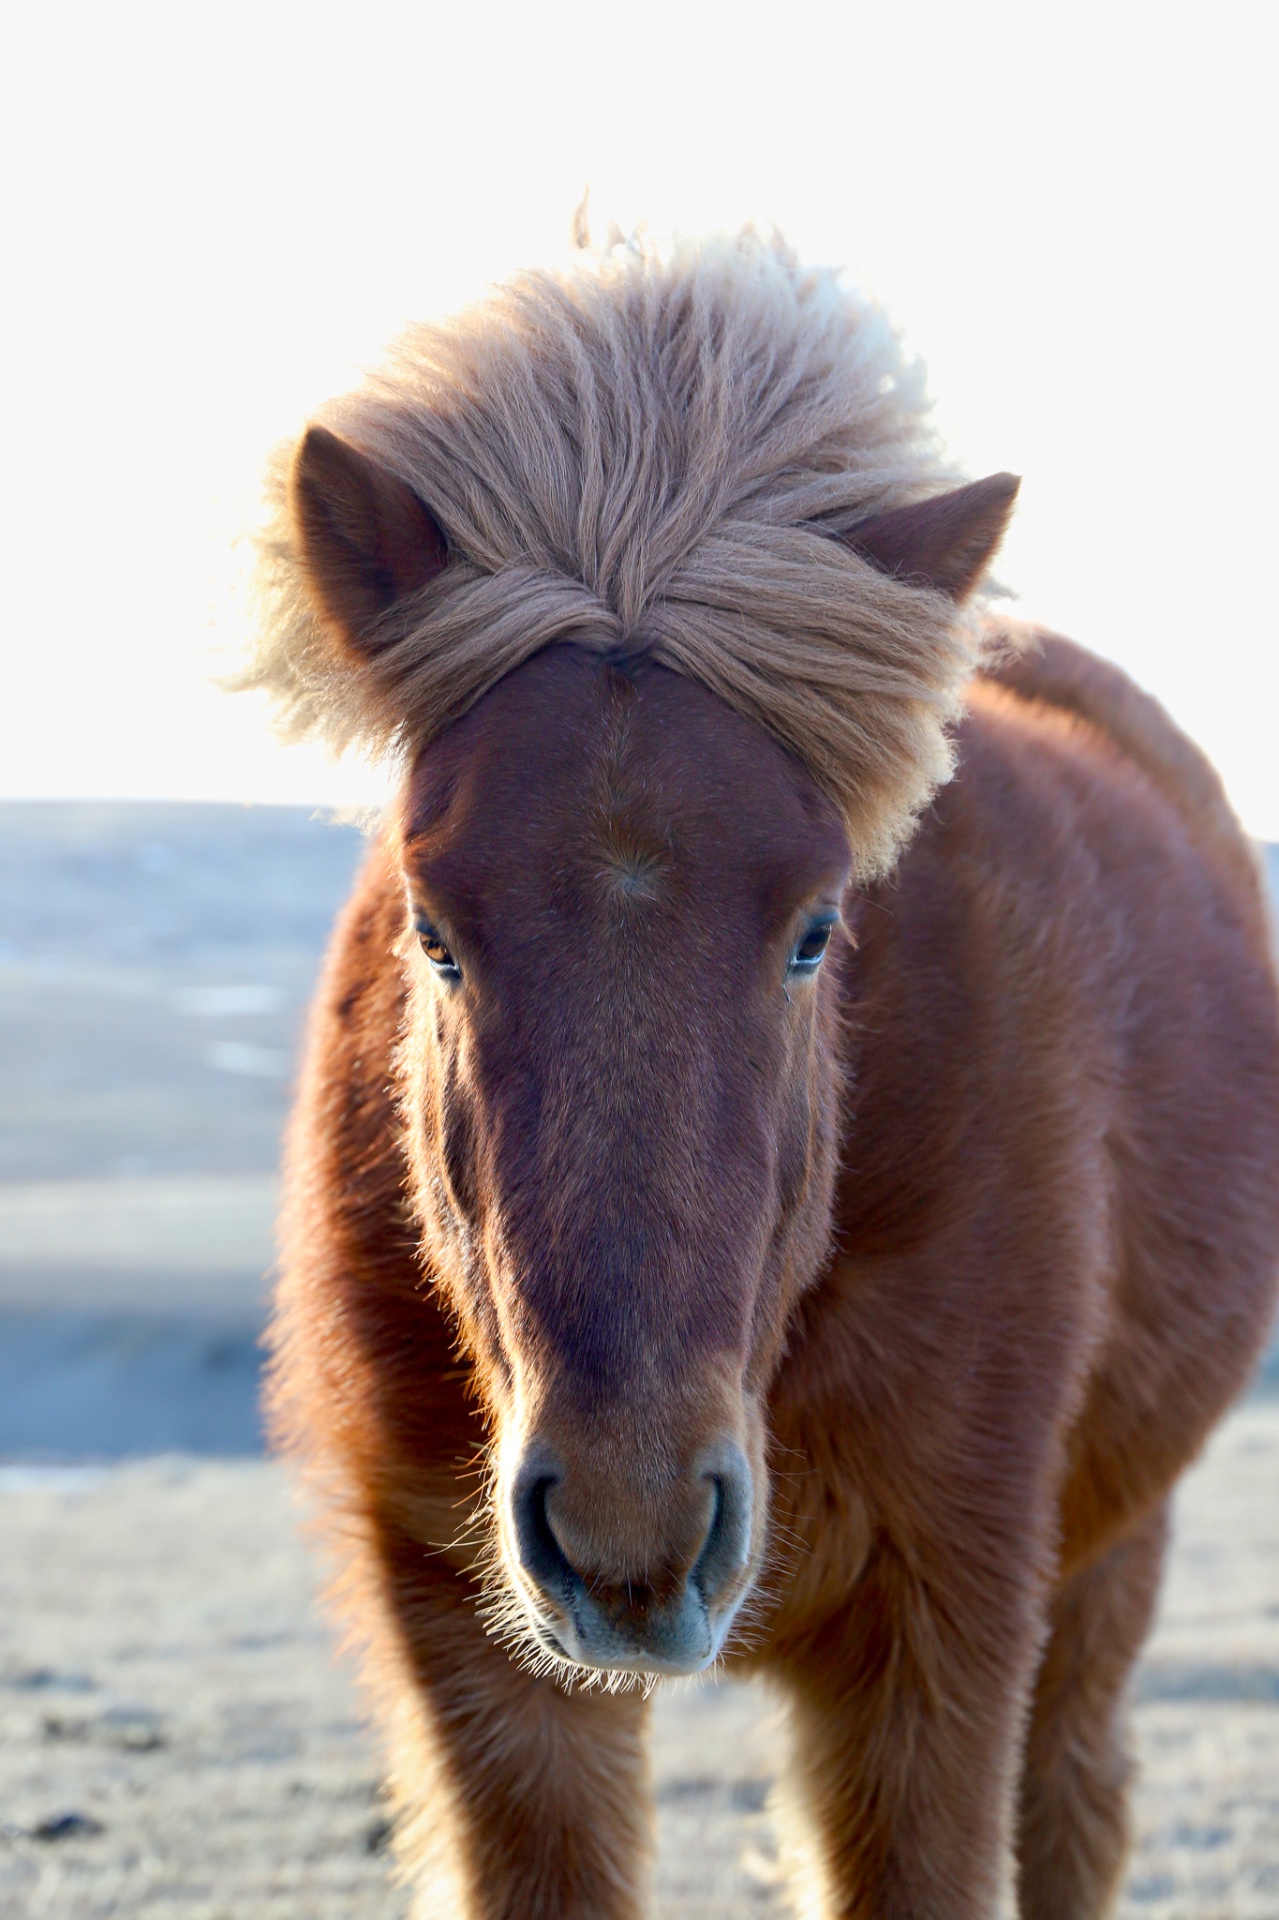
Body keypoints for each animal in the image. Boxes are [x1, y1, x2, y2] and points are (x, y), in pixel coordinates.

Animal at [249, 233, 1279, 1918]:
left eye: (812, 929)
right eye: (432, 927)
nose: (629, 1532)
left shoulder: (940, 1631)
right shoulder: (479, 1663)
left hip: (1102, 1558)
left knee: (1073, 1804)